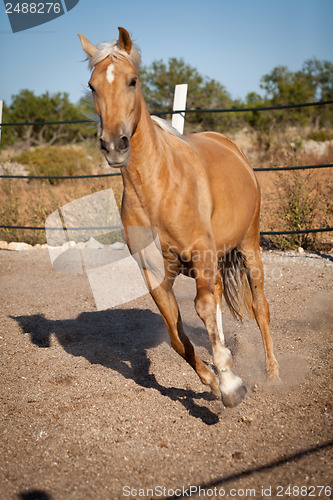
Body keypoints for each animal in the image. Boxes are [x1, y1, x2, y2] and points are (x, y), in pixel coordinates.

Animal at [78, 28, 278, 406]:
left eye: (132, 81)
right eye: (92, 86)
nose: (114, 144)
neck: (158, 189)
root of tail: (232, 147)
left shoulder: (200, 253)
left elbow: (203, 309)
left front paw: (230, 384)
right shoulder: (154, 272)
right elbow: (176, 334)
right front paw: (214, 380)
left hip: (249, 246)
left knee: (260, 308)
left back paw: (273, 372)